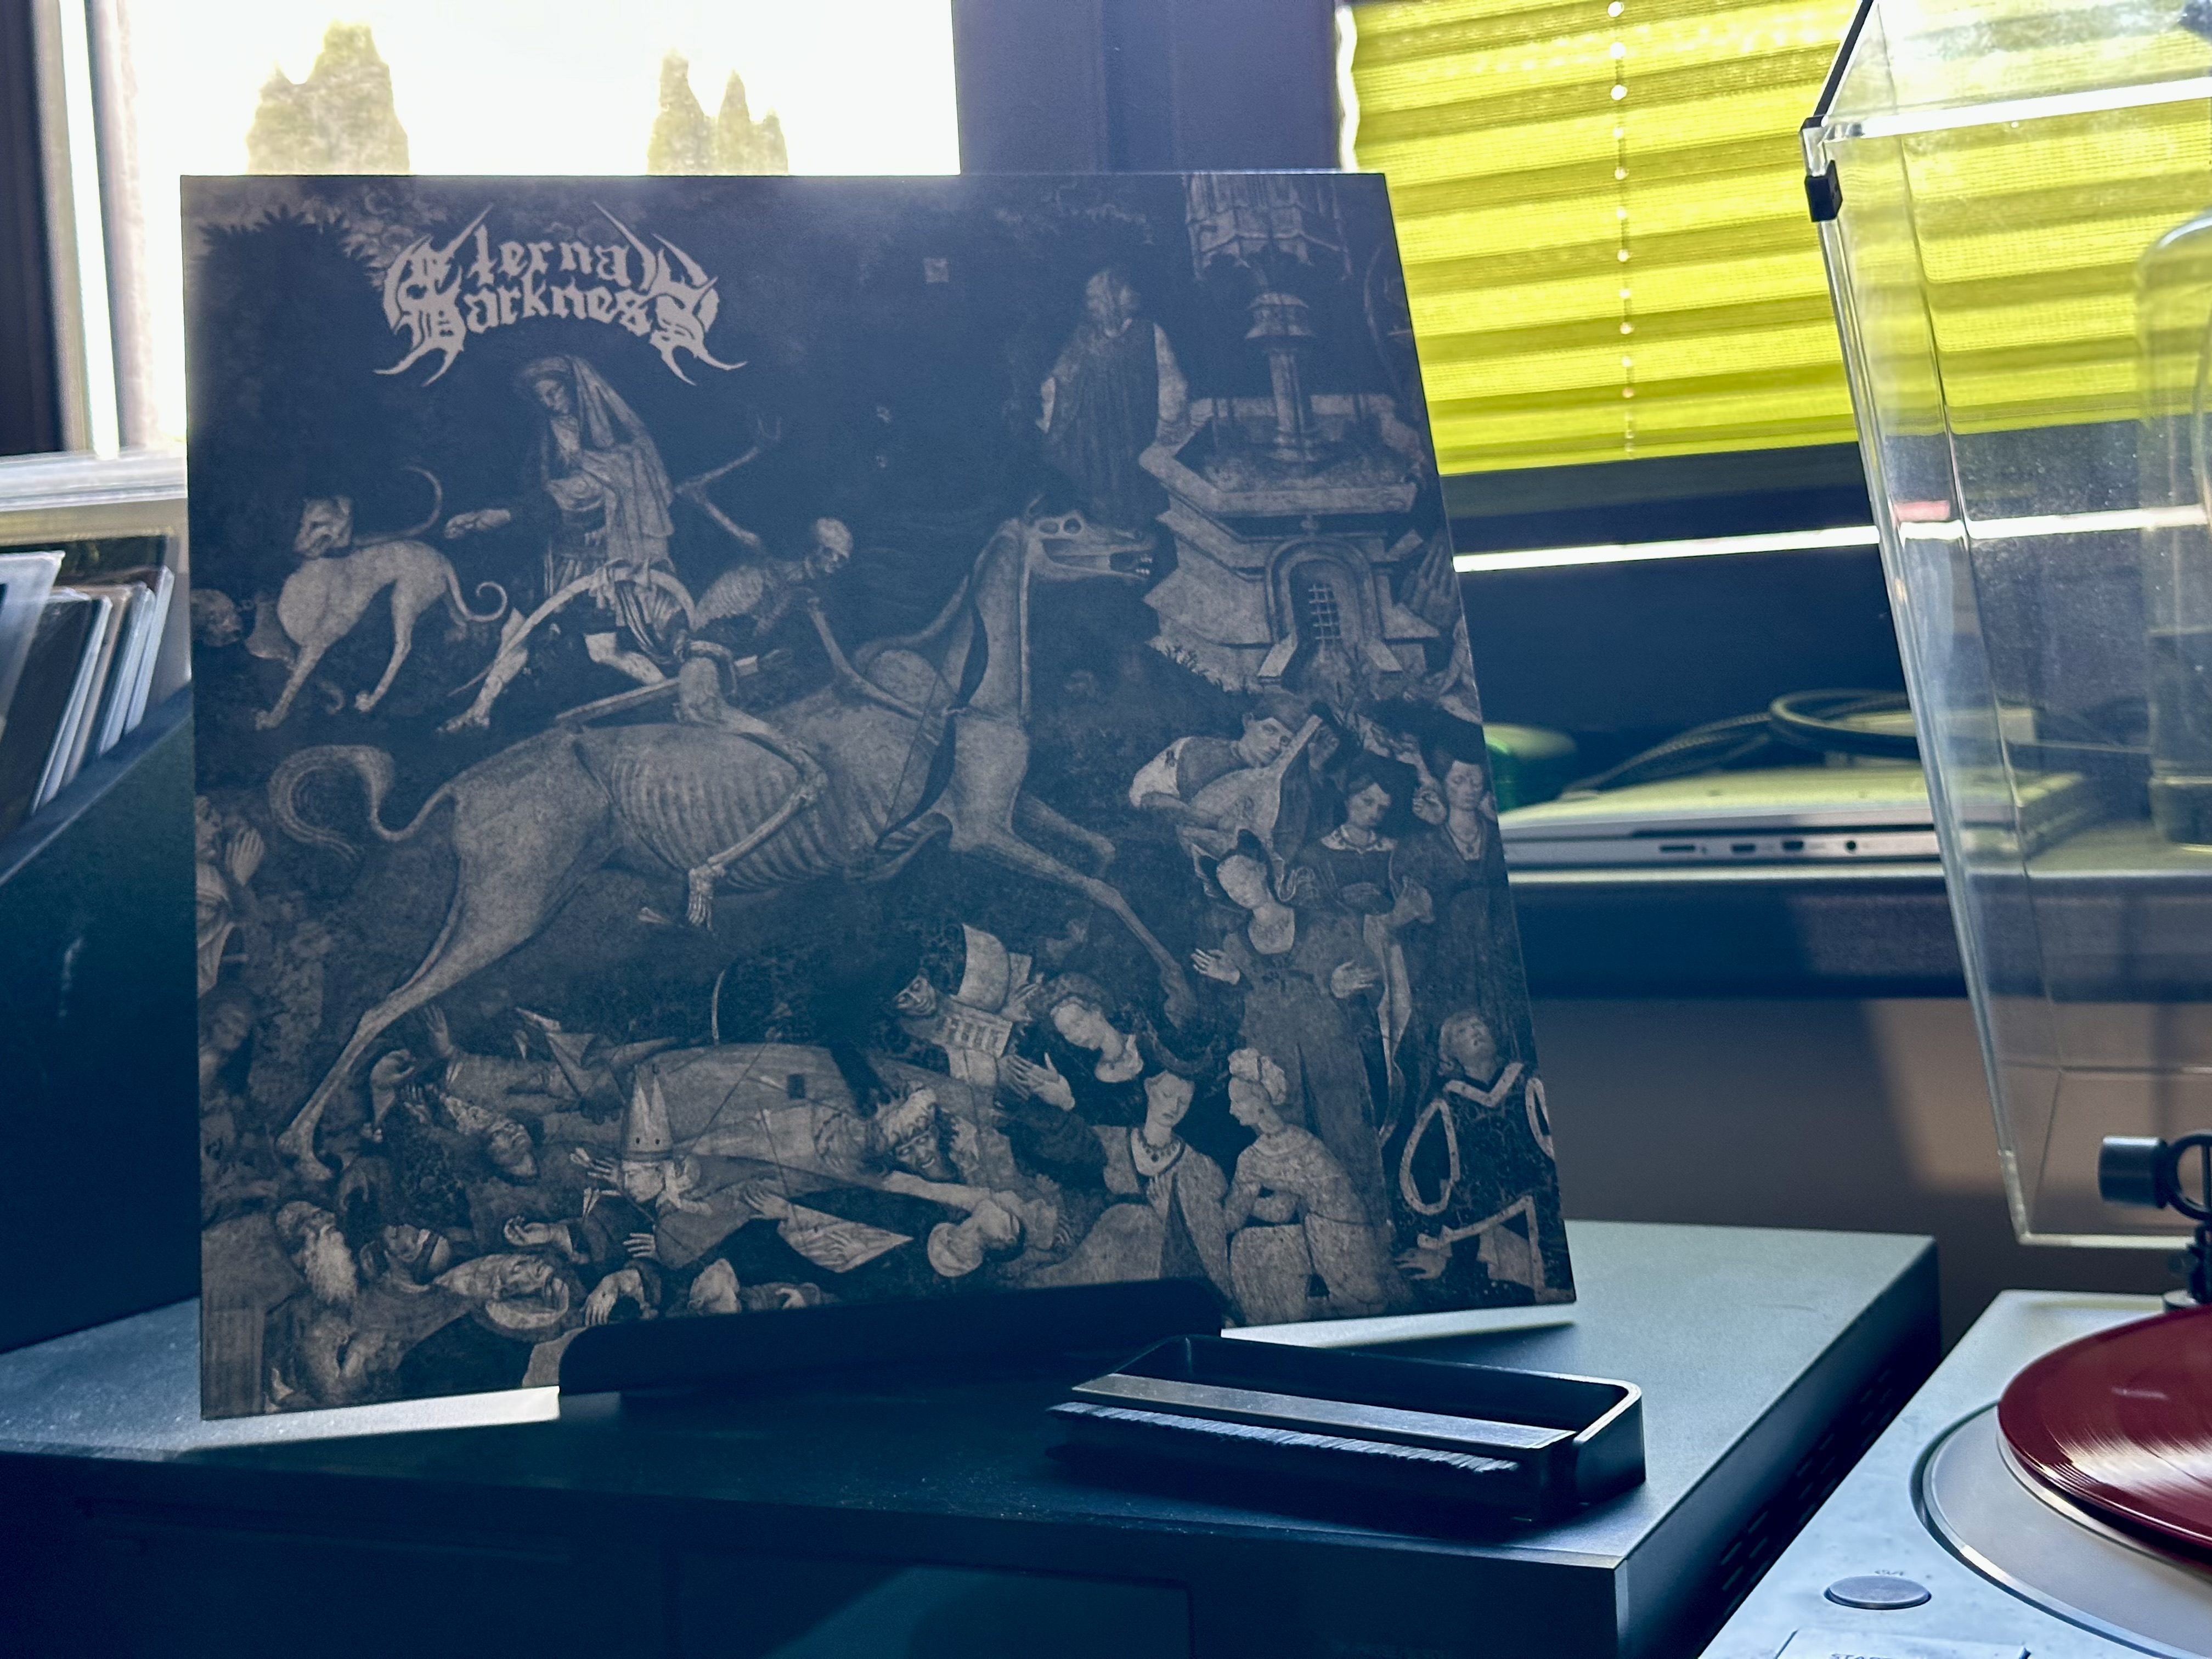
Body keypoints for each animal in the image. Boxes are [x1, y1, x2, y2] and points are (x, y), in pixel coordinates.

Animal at [256, 469, 508, 729]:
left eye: (318, 524)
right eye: (301, 523)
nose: (295, 551)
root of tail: (441, 557)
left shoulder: (318, 643)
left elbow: (293, 684)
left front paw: (272, 719)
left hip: (404, 599)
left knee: (403, 646)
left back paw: (370, 702)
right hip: (439, 593)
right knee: (459, 617)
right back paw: (458, 635)